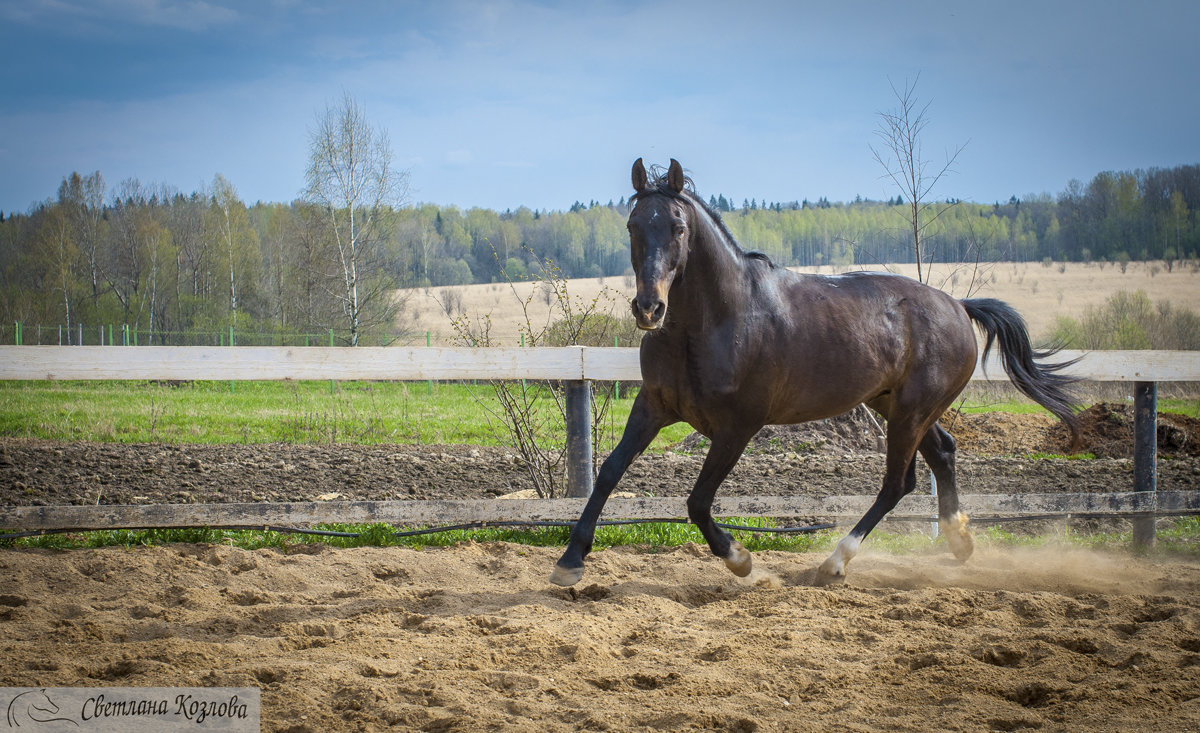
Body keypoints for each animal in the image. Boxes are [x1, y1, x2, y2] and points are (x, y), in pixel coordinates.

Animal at [549, 157, 1084, 587]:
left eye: (678, 227)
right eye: (633, 225)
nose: (649, 308)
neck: (716, 320)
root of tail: (958, 306)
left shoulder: (738, 427)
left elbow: (698, 501)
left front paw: (743, 562)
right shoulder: (655, 405)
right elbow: (609, 472)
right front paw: (570, 561)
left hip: (911, 411)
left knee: (898, 483)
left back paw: (834, 563)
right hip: (894, 404)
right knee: (943, 453)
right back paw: (959, 542)